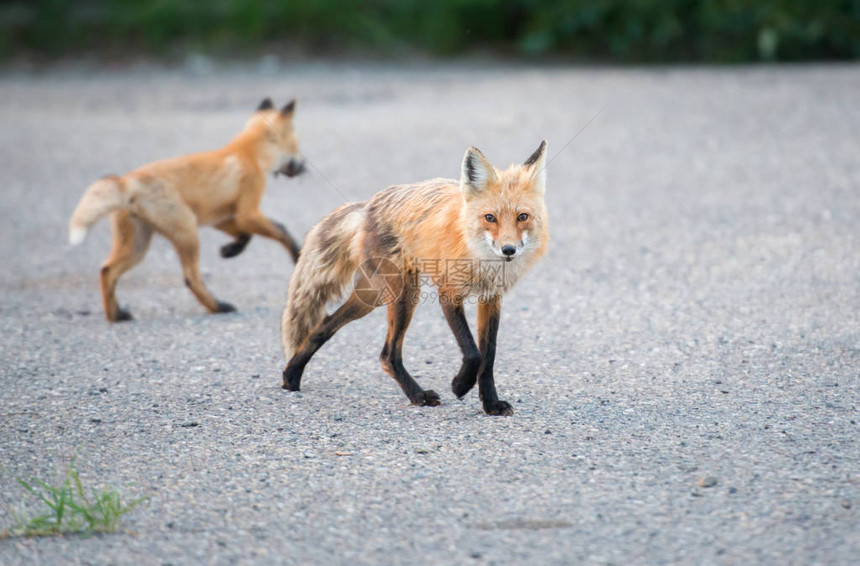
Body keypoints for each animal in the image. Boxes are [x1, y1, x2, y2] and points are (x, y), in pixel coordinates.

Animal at [70, 98, 306, 324]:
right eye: (297, 146)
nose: (304, 167)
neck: (246, 153)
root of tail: (128, 180)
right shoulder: (247, 211)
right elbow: (280, 229)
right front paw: (296, 253)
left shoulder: (221, 217)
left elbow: (245, 236)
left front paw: (230, 250)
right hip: (187, 232)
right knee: (190, 278)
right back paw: (218, 307)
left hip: (138, 245)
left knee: (107, 271)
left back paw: (116, 315)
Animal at [282, 142, 552, 418]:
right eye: (490, 217)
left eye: (522, 217)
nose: (508, 250)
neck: (480, 258)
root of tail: (368, 206)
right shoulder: (448, 293)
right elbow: (473, 353)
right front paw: (460, 385)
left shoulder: (490, 297)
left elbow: (488, 358)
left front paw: (490, 403)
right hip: (403, 294)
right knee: (387, 355)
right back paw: (418, 395)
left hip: (375, 295)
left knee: (324, 325)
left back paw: (291, 374)